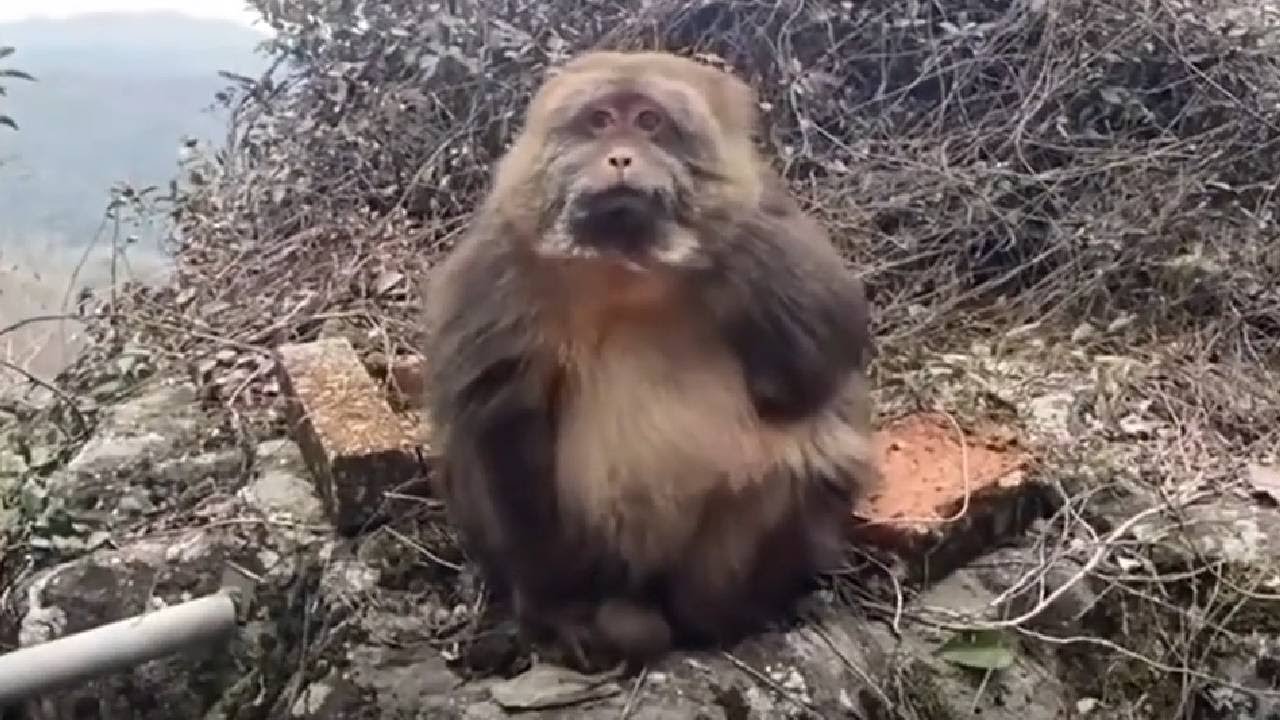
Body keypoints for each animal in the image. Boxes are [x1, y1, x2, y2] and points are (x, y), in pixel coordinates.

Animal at [422, 50, 879, 671]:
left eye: (648, 122)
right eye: (599, 121)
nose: (621, 157)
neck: (624, 264)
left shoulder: (768, 215)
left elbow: (817, 365)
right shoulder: (503, 254)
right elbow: (500, 413)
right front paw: (559, 609)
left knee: (815, 439)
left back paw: (728, 613)